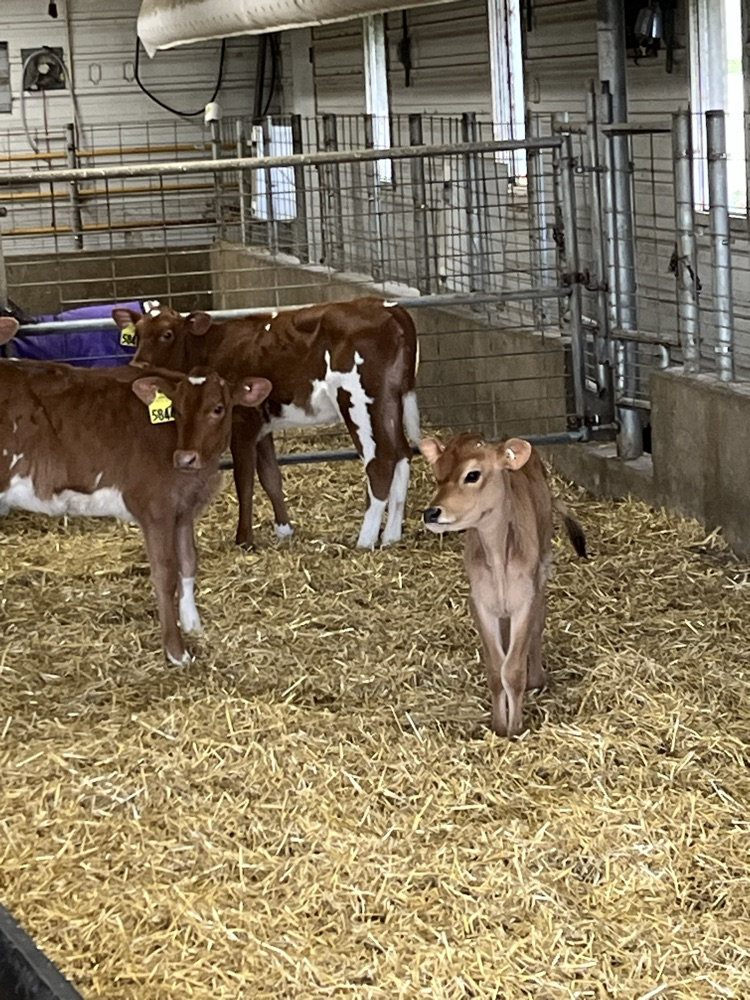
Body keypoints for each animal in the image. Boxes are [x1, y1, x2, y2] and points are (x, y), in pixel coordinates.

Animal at [0, 315, 272, 667]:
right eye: (177, 410)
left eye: (218, 409)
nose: (185, 457)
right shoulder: (153, 507)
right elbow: (165, 574)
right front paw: (176, 651)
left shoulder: (183, 508)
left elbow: (188, 563)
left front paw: (193, 625)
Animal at [113, 296, 421, 550]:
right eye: (136, 334)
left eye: (166, 334)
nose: (137, 365)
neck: (212, 346)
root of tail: (387, 307)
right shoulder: (262, 425)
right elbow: (271, 476)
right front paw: (284, 530)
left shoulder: (241, 421)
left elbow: (245, 480)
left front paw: (244, 539)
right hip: (391, 400)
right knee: (402, 454)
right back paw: (391, 536)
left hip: (359, 401)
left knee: (381, 461)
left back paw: (365, 540)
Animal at [420, 432, 586, 738]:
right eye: (437, 474)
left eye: (472, 474)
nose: (432, 512)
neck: (498, 559)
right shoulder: (480, 603)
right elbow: (497, 669)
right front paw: (499, 726)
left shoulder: (525, 600)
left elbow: (514, 669)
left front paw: (515, 728)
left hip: (542, 571)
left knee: (536, 629)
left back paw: (537, 678)